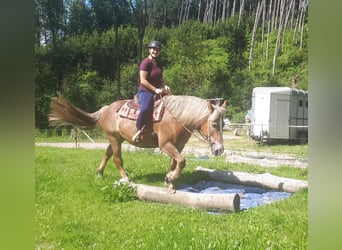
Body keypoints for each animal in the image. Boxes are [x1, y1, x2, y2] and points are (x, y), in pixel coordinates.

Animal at [47, 94, 224, 190]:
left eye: (223, 123)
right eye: (215, 124)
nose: (220, 150)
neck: (176, 117)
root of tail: (106, 109)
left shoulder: (177, 146)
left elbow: (175, 163)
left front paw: (169, 181)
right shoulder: (165, 145)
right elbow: (182, 161)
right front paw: (170, 178)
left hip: (116, 138)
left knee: (107, 154)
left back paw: (99, 173)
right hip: (114, 139)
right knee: (117, 159)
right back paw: (126, 178)